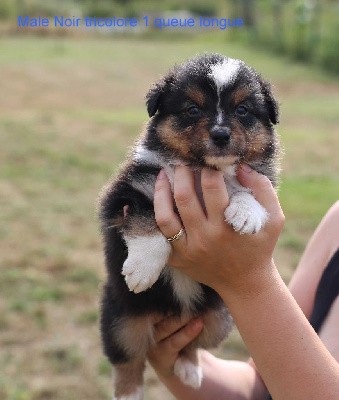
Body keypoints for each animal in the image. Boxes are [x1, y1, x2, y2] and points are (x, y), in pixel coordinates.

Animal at [99, 54, 280, 400]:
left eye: (243, 110)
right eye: (192, 109)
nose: (221, 135)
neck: (201, 171)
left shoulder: (260, 180)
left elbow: (246, 189)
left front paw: (246, 213)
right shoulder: (126, 193)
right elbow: (147, 218)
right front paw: (143, 269)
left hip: (217, 319)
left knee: (192, 346)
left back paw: (189, 369)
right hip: (121, 319)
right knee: (127, 361)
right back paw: (128, 393)